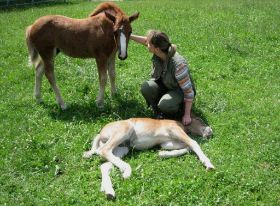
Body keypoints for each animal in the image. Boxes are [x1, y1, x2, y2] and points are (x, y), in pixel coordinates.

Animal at [83, 118, 214, 199]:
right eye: (199, 119)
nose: (210, 132)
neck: (178, 123)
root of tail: (101, 133)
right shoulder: (174, 129)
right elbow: (193, 143)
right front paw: (208, 164)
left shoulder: (166, 143)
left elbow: (187, 147)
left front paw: (162, 154)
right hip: (124, 131)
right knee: (103, 151)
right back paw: (126, 172)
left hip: (122, 148)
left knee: (105, 164)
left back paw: (109, 191)